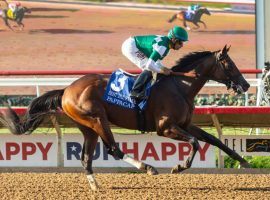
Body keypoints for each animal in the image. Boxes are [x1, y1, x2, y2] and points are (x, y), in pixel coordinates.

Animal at [0, 45, 250, 191]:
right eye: (229, 63)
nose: (246, 84)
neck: (181, 86)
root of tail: (66, 90)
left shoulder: (186, 124)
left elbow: (213, 140)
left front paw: (243, 161)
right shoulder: (165, 128)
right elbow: (195, 143)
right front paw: (179, 166)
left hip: (88, 127)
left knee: (86, 158)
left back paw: (96, 187)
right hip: (97, 119)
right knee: (113, 149)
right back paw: (147, 167)